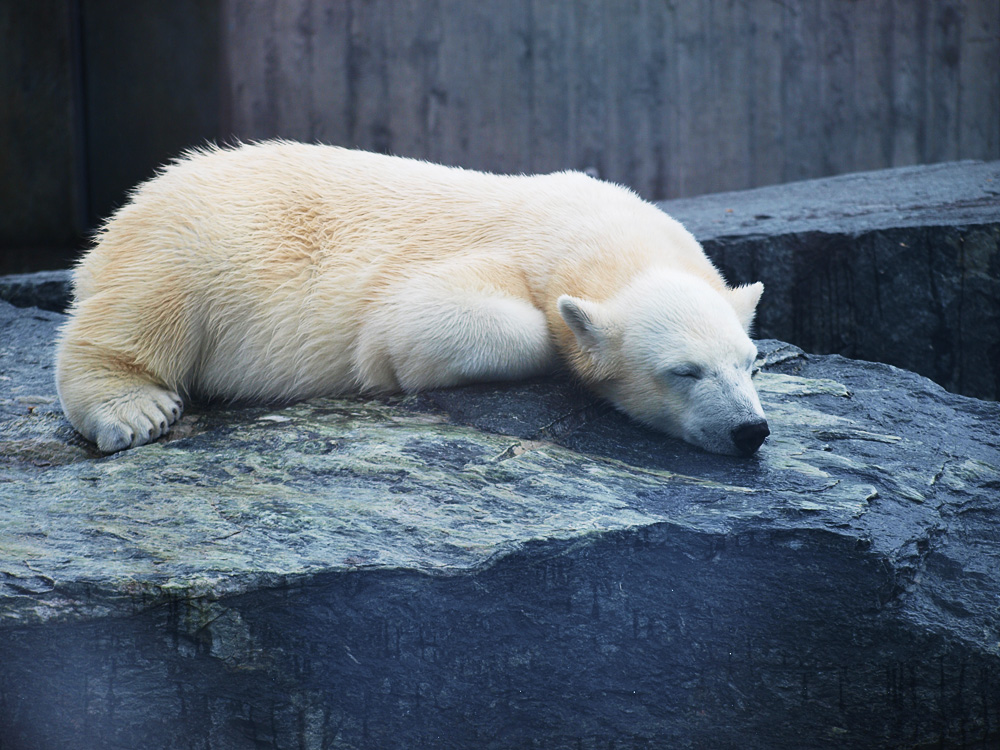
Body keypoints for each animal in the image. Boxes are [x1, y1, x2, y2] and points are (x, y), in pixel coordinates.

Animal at [54, 142, 768, 458]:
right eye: (683, 371)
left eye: (749, 364)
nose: (750, 430)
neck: (581, 227)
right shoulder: (500, 254)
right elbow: (417, 320)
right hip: (196, 243)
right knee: (139, 311)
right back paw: (134, 410)